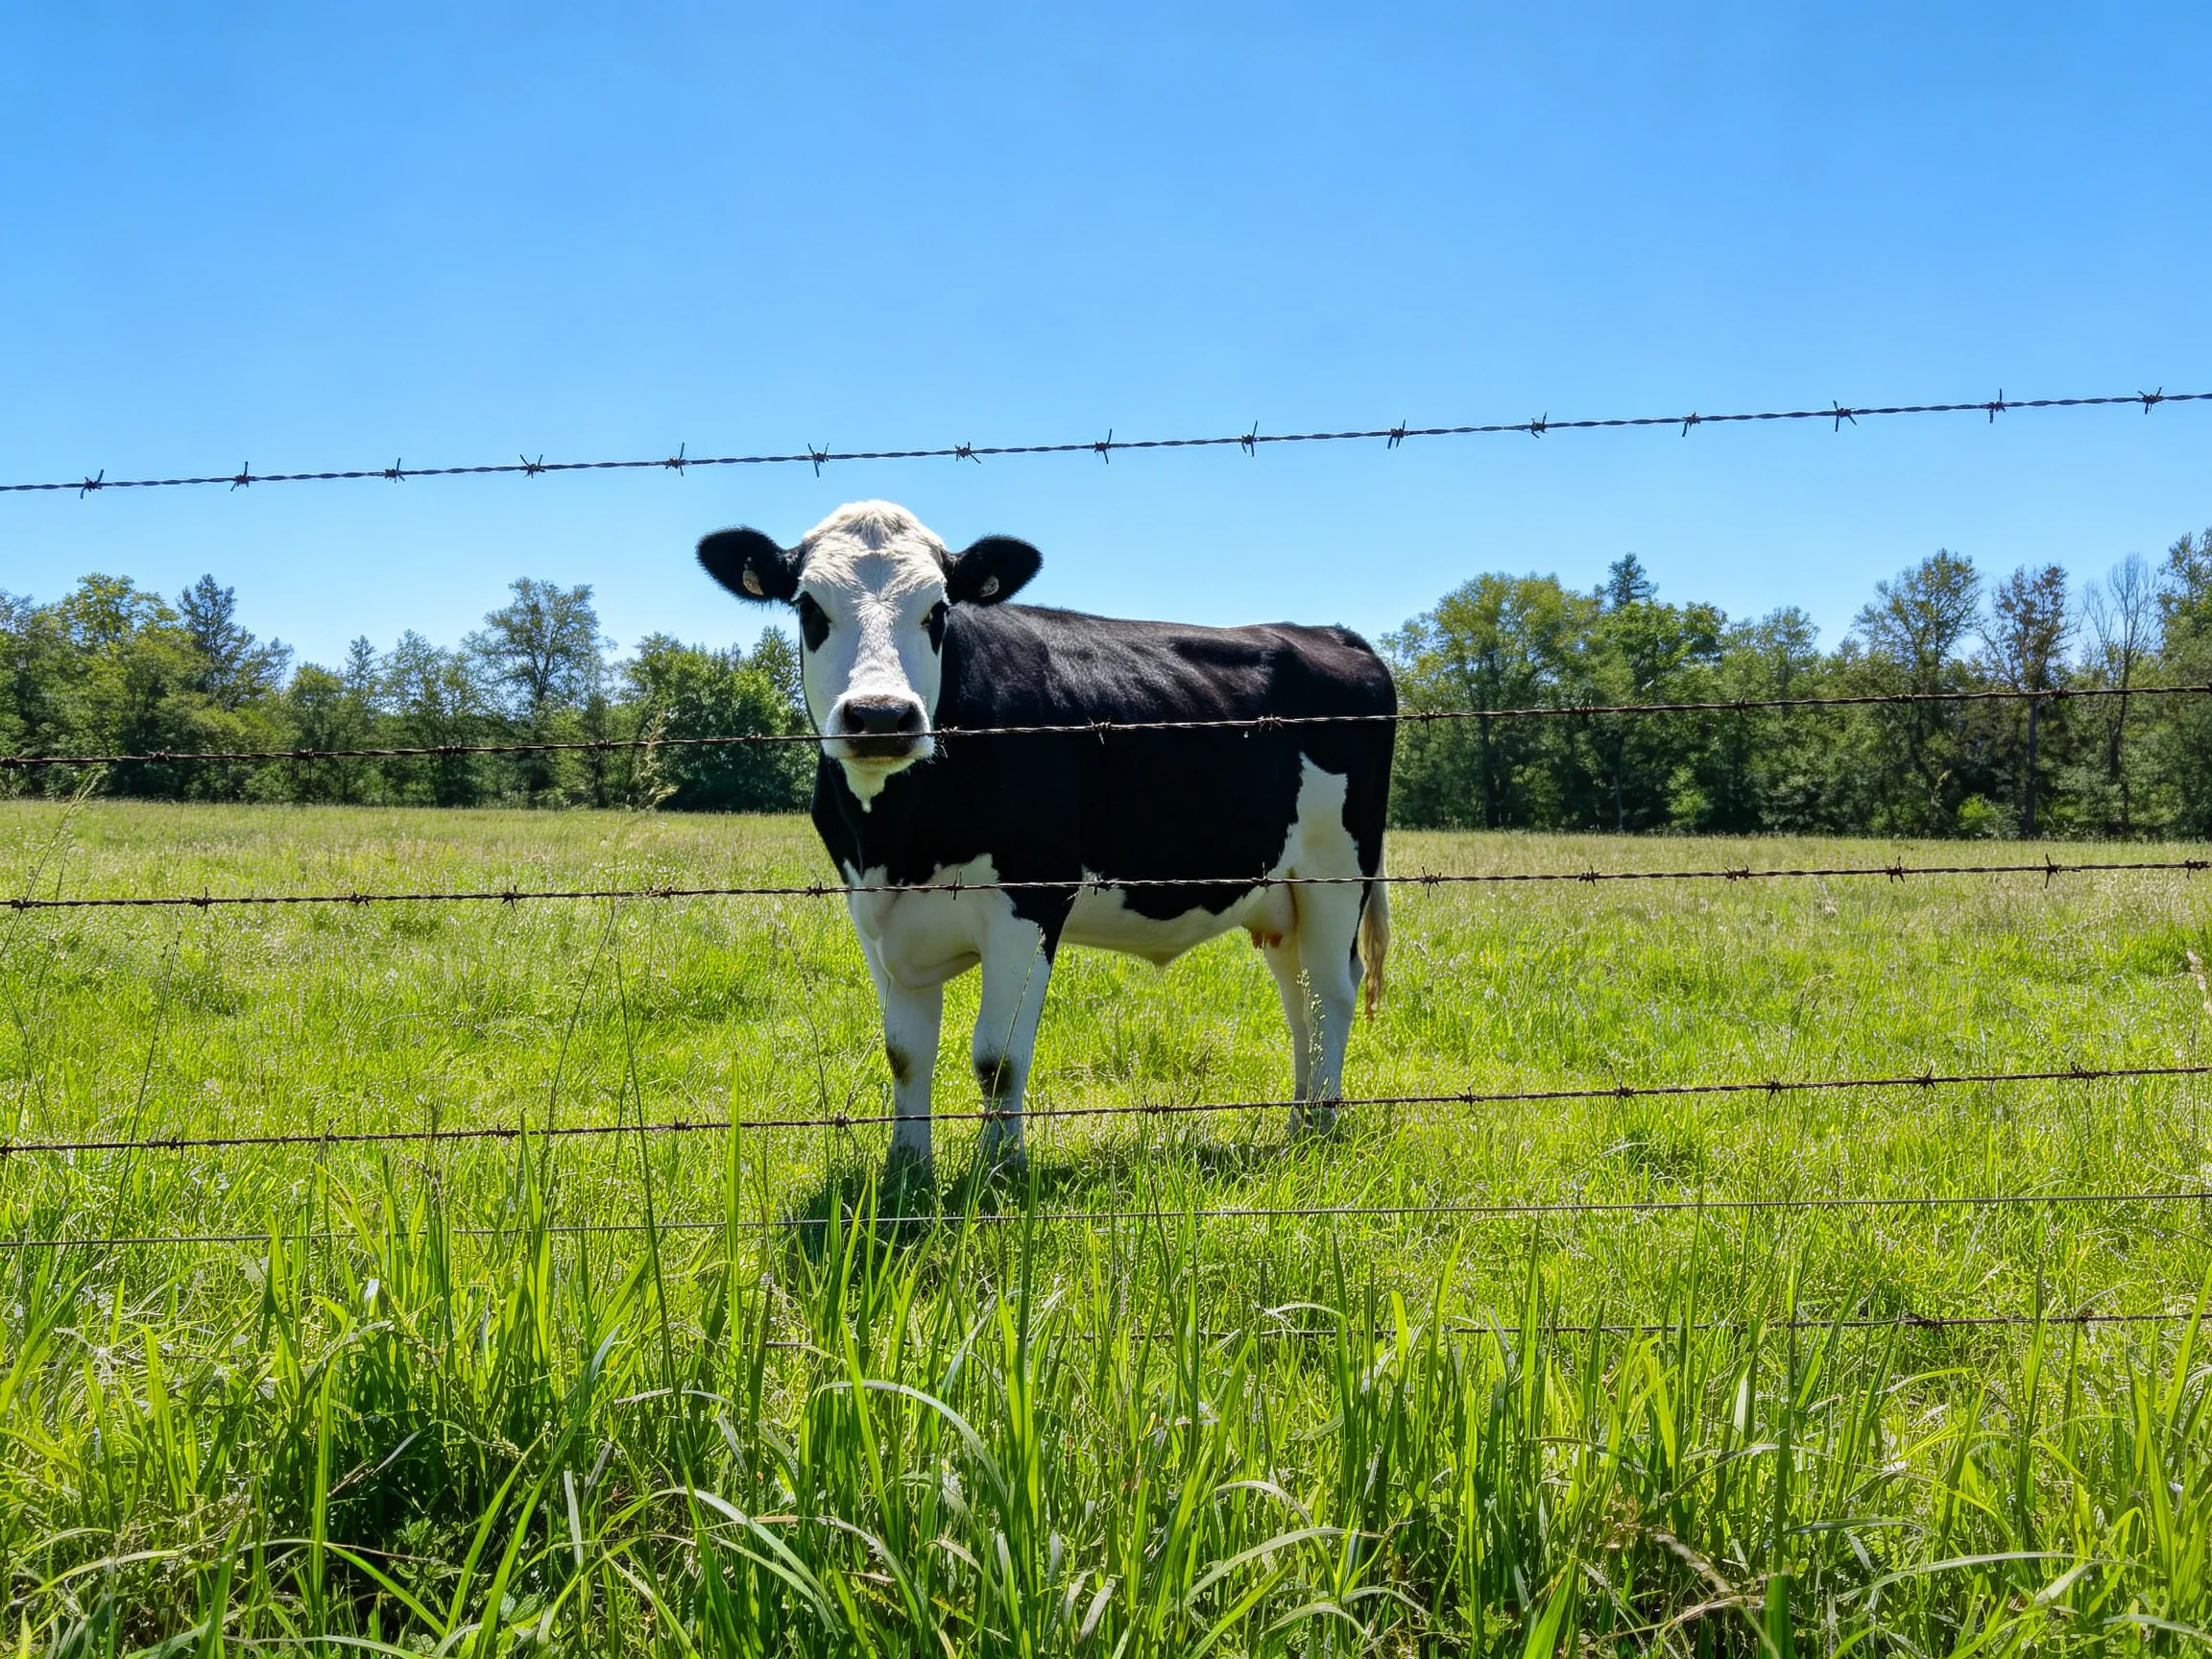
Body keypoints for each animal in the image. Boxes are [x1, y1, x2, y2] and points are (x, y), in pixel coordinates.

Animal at [697, 501, 1394, 1177]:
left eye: (938, 610)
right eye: (810, 608)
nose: (881, 717)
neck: (894, 842)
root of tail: (1328, 632)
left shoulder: (1029, 901)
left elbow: (997, 1057)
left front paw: (1002, 1170)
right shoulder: (873, 914)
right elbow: (905, 1053)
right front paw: (907, 1171)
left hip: (1337, 874)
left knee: (1331, 992)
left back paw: (1320, 1128)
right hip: (1280, 894)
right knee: (1298, 994)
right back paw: (1297, 1122)